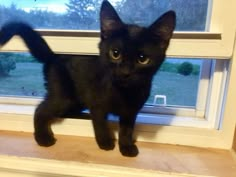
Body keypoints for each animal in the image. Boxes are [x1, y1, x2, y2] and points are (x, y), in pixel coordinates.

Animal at [0, 1, 175, 156]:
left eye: (143, 59)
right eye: (115, 53)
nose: (125, 72)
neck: (123, 92)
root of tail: (54, 56)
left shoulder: (130, 110)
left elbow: (127, 129)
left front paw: (126, 146)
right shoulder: (96, 103)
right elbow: (100, 123)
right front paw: (105, 142)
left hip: (77, 100)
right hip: (63, 96)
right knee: (40, 110)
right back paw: (43, 138)